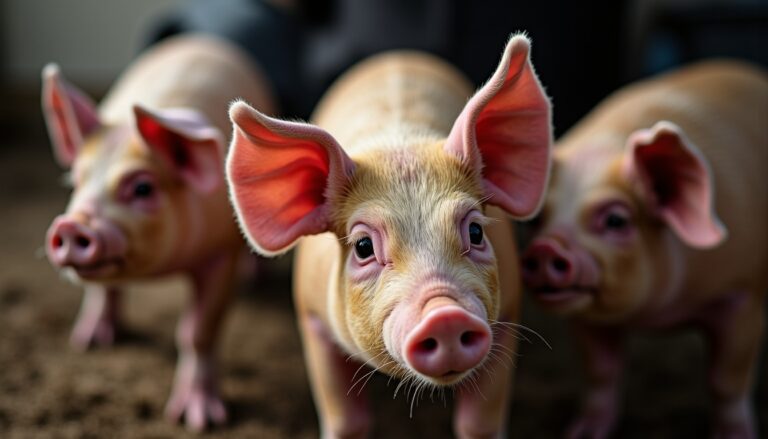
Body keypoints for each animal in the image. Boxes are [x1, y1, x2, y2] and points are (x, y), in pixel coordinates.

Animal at [41, 34, 275, 431]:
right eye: (74, 181)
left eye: (142, 188)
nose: (71, 225)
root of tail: (202, 39)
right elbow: (105, 290)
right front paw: (90, 343)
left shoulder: (222, 253)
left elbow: (197, 332)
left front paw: (198, 421)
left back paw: (254, 278)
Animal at [226, 34, 551, 438]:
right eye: (363, 246)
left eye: (475, 231)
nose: (445, 315)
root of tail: (396, 55)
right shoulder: (310, 313)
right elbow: (347, 419)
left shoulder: (509, 310)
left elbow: (479, 422)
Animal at [520, 60, 768, 438]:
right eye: (537, 220)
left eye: (616, 220)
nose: (546, 248)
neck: (659, 316)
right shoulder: (587, 314)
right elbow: (601, 372)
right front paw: (582, 434)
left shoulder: (743, 293)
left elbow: (726, 382)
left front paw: (736, 436)